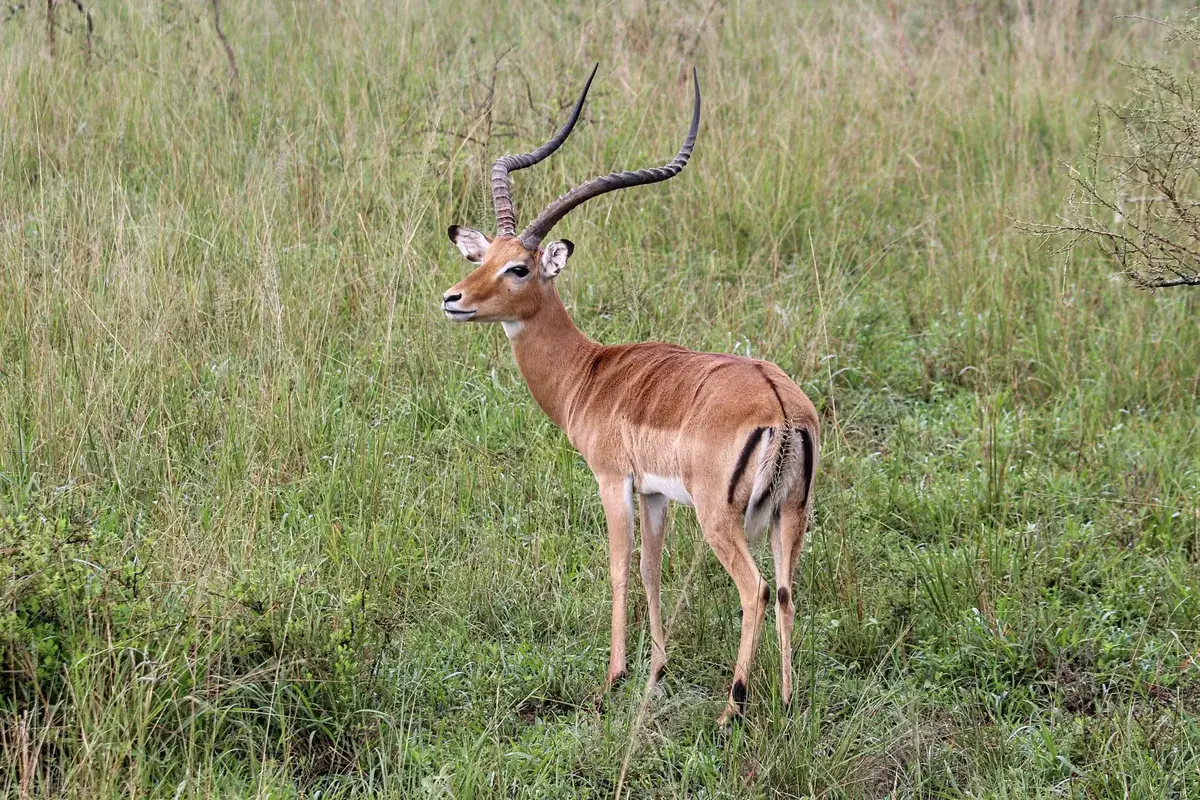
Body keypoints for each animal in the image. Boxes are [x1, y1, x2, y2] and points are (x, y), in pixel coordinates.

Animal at [441, 66, 819, 725]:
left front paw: (614, 678)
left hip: (721, 519)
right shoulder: (654, 493)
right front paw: (655, 673)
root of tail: (779, 405)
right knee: (785, 591)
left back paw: (732, 709)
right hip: (788, 516)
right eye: (484, 256)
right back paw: (788, 702)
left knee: (754, 590)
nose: (453, 299)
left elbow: (619, 568)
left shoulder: (612, 479)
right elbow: (650, 570)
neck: (591, 373)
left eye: (520, 268)